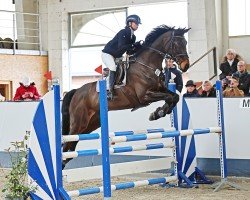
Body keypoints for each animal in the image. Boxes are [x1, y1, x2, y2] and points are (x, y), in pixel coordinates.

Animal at [62, 24, 189, 166]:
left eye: (185, 43)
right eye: (176, 44)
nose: (186, 65)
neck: (147, 65)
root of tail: (76, 91)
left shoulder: (160, 89)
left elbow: (174, 97)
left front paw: (159, 112)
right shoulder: (144, 97)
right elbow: (169, 97)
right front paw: (158, 113)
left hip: (91, 123)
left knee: (71, 148)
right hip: (79, 122)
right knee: (66, 144)